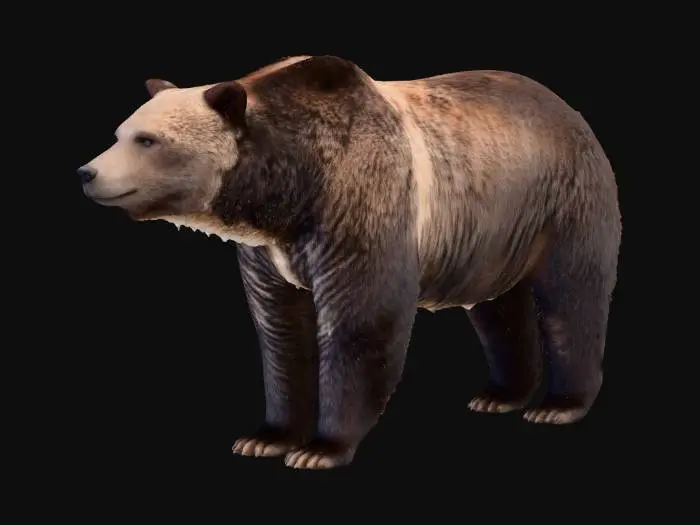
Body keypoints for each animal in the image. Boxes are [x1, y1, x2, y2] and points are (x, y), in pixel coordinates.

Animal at [78, 55, 621, 469]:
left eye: (148, 140)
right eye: (120, 131)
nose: (88, 172)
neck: (286, 191)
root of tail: (566, 107)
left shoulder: (357, 203)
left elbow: (361, 324)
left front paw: (320, 448)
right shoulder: (270, 252)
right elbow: (280, 330)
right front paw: (265, 437)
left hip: (560, 197)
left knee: (572, 295)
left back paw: (559, 405)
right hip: (494, 228)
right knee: (497, 308)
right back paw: (500, 394)